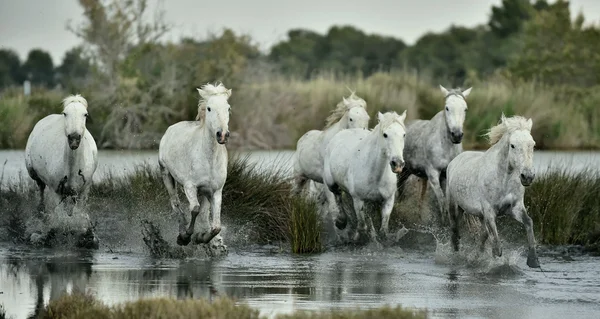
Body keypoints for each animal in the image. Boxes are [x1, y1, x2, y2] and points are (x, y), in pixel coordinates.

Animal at [24, 94, 98, 249]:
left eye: (85, 114)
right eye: (65, 113)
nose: (74, 139)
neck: (71, 168)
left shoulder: (83, 191)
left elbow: (80, 215)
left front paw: (88, 237)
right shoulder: (55, 191)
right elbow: (58, 219)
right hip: (35, 175)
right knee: (41, 192)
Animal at [158, 82, 233, 250]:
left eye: (228, 108)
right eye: (209, 108)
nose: (222, 135)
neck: (209, 159)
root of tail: (170, 129)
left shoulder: (216, 191)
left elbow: (216, 226)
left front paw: (202, 238)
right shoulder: (190, 186)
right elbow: (194, 209)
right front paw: (185, 237)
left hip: (205, 192)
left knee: (204, 214)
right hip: (167, 175)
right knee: (176, 205)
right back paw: (182, 231)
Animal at [324, 111, 408, 239]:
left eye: (403, 135)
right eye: (385, 135)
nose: (397, 164)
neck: (376, 175)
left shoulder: (388, 200)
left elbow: (383, 230)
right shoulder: (358, 200)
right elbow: (362, 227)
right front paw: (357, 237)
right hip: (331, 183)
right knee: (337, 196)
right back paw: (341, 222)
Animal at [398, 85, 474, 224]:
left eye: (465, 109)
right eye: (447, 108)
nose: (456, 135)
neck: (446, 147)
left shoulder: (446, 176)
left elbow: (450, 204)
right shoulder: (433, 174)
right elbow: (442, 203)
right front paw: (443, 224)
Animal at [446, 114, 540, 268]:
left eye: (532, 145)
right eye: (512, 145)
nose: (527, 176)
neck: (503, 179)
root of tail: (454, 161)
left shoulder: (515, 208)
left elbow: (529, 222)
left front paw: (533, 260)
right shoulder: (489, 211)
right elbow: (497, 247)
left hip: (479, 215)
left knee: (482, 236)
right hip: (455, 208)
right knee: (455, 233)